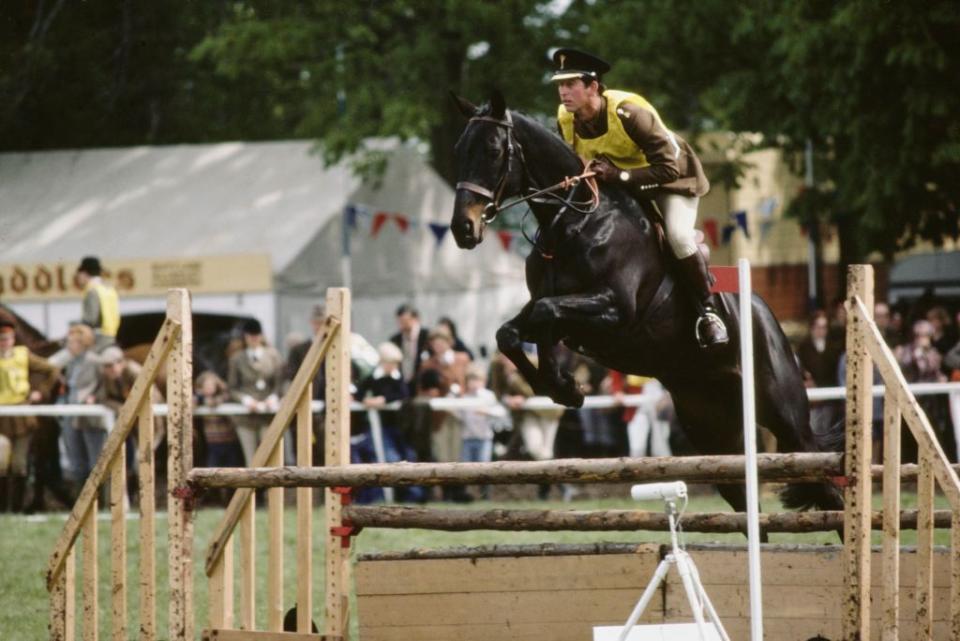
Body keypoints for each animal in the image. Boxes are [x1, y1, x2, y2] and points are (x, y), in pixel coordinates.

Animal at [450, 90, 840, 520]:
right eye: (459, 150)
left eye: (492, 150)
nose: (462, 228)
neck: (574, 222)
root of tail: (768, 317)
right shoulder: (553, 305)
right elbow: (512, 331)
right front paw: (561, 388)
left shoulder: (614, 310)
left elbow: (546, 313)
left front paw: (565, 386)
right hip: (711, 429)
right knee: (743, 496)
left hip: (784, 415)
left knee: (825, 481)